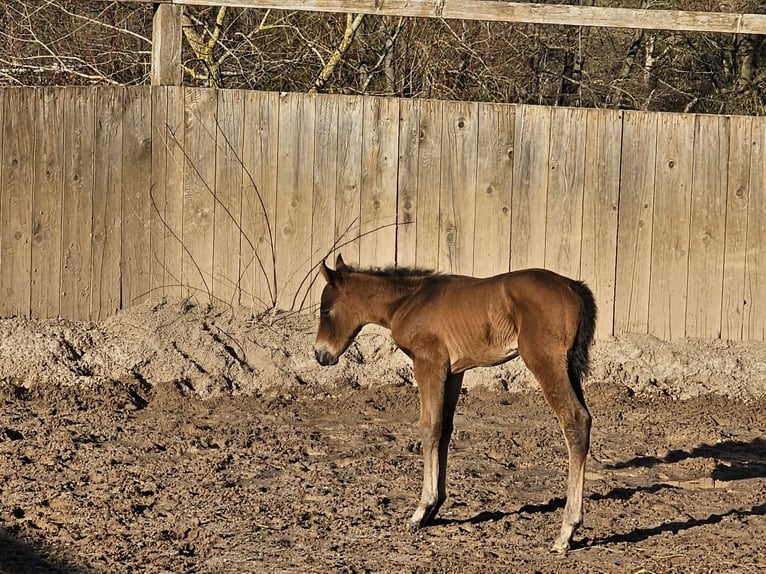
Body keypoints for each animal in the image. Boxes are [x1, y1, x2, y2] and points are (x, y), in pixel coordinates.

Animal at [316, 255, 596, 552]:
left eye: (325, 310)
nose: (320, 355)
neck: (408, 300)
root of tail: (572, 286)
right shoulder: (453, 372)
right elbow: (444, 428)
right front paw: (434, 508)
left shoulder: (428, 362)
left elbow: (429, 426)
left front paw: (420, 511)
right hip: (569, 368)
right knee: (585, 420)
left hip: (544, 360)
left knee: (575, 420)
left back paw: (566, 532)